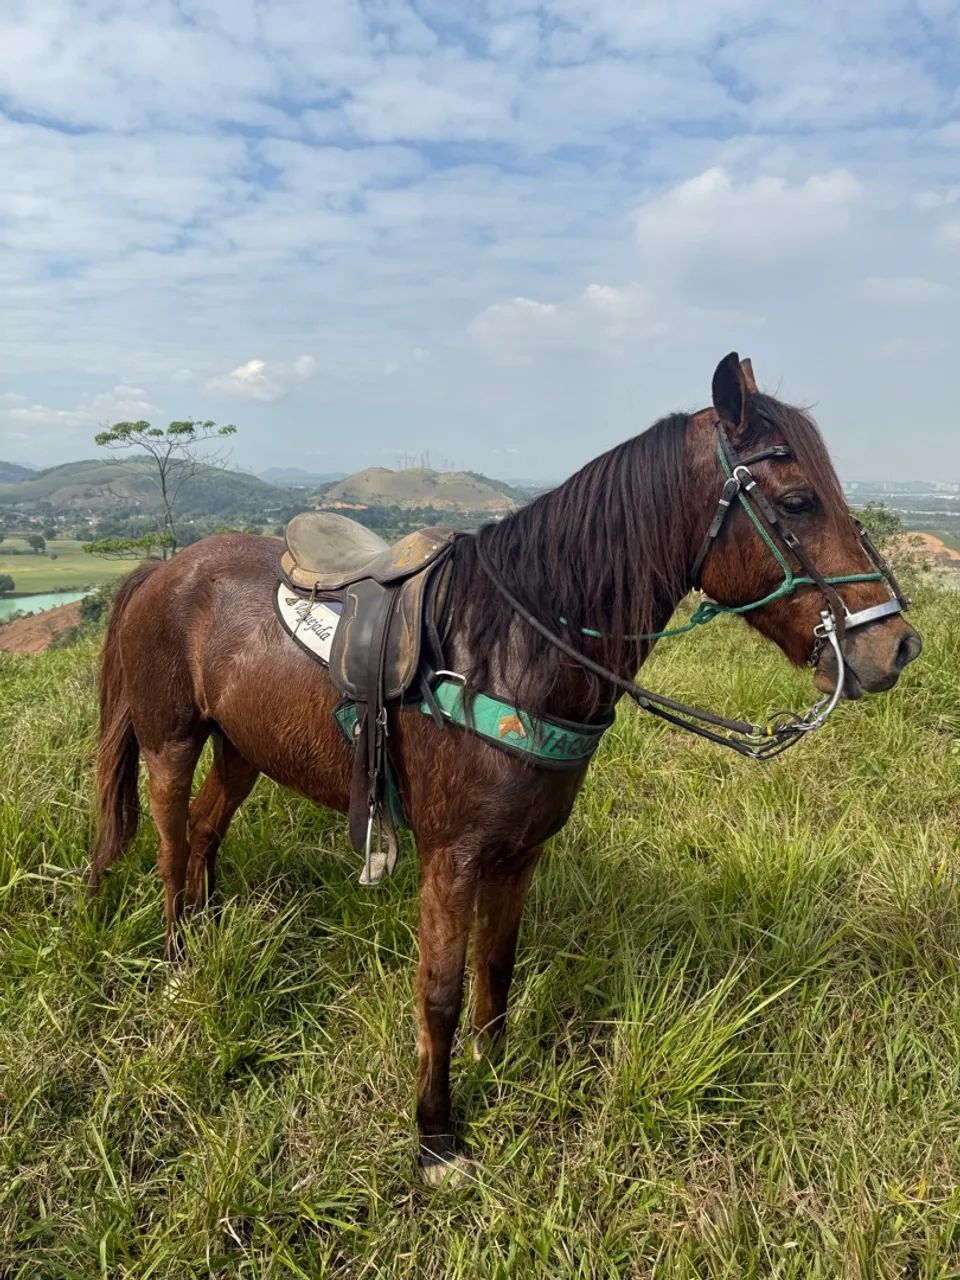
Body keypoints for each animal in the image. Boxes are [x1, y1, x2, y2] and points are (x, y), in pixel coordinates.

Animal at [88, 353, 921, 1185]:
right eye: (799, 500)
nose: (897, 646)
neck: (511, 651)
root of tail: (163, 572)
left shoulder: (521, 850)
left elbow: (499, 962)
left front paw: (497, 1064)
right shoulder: (451, 857)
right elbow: (440, 992)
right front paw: (435, 1135)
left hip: (244, 749)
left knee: (205, 832)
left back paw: (208, 931)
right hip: (171, 744)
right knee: (170, 846)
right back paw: (177, 956)